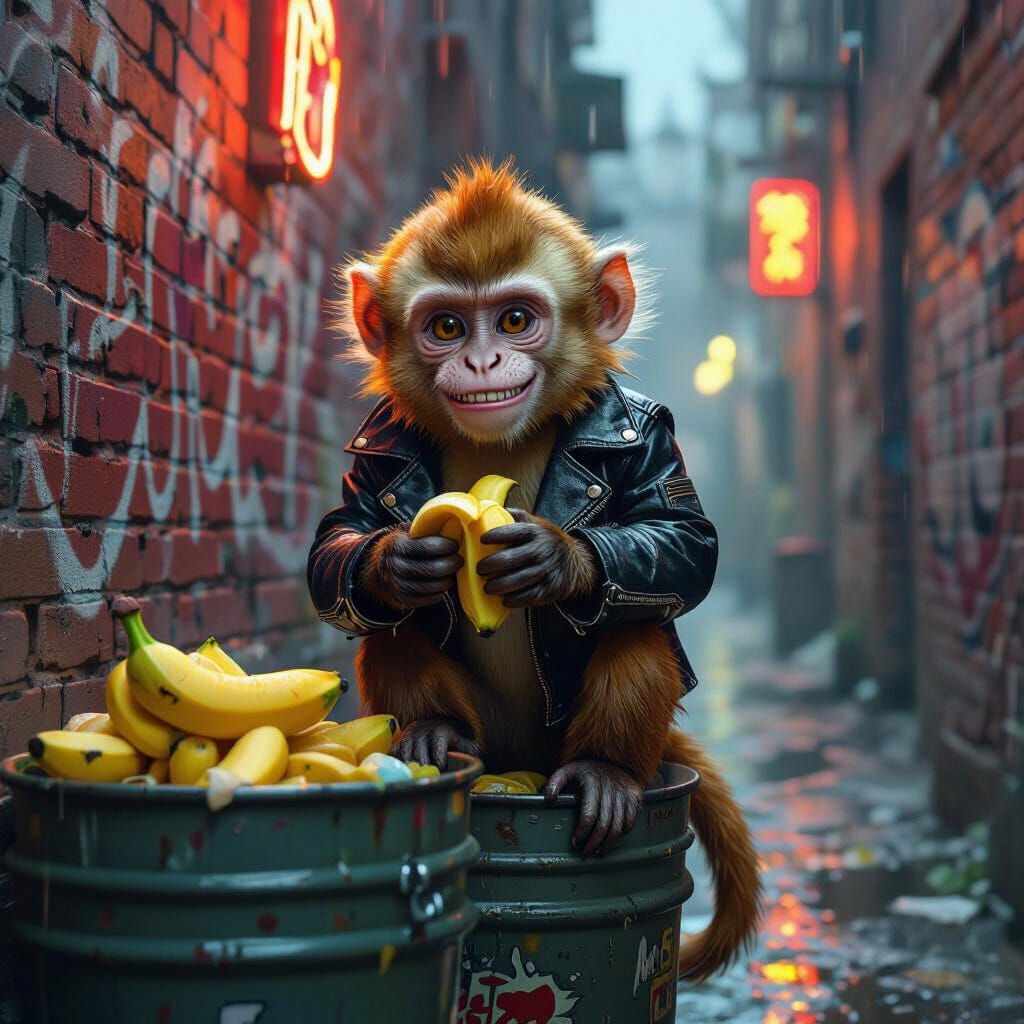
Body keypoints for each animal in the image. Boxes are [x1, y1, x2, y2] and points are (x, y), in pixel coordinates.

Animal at [308, 159, 761, 979]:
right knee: (391, 636)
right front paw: (392, 564)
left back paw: (605, 774)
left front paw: (560, 560)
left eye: (516, 320)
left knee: (637, 622)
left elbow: (686, 542)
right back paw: (434, 734)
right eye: (447, 327)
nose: (483, 360)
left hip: (564, 741)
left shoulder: (646, 430)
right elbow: (337, 539)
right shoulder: (376, 448)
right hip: (493, 741)